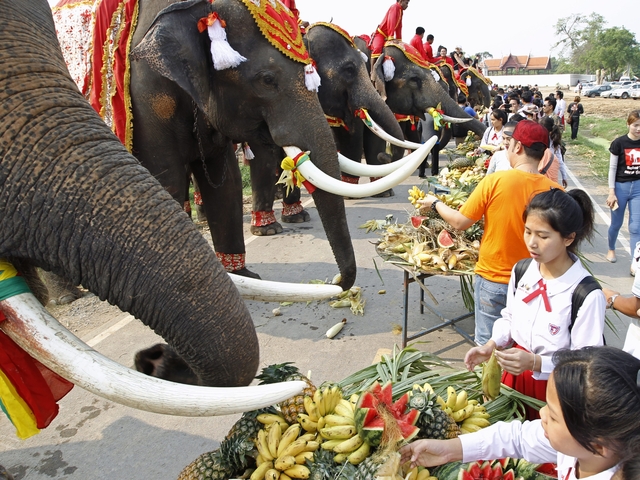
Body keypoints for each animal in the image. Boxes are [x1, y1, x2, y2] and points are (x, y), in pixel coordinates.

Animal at [0, 0, 312, 408]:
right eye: (267, 80)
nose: (155, 357)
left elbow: (225, 181)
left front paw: (247, 276)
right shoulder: (145, 97)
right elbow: (169, 179)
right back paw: (67, 297)